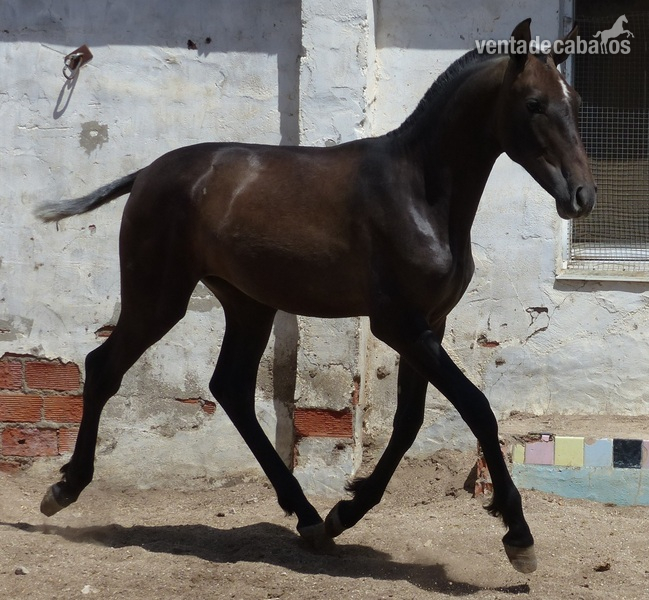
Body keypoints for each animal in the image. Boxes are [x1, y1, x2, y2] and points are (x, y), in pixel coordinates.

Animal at [35, 19, 596, 574]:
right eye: (533, 103)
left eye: (575, 100)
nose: (582, 196)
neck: (419, 192)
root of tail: (146, 174)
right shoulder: (399, 325)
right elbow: (477, 407)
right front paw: (518, 533)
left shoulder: (427, 325)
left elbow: (409, 422)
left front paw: (343, 514)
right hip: (158, 299)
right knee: (104, 367)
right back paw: (64, 488)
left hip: (248, 305)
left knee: (230, 388)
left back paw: (305, 515)